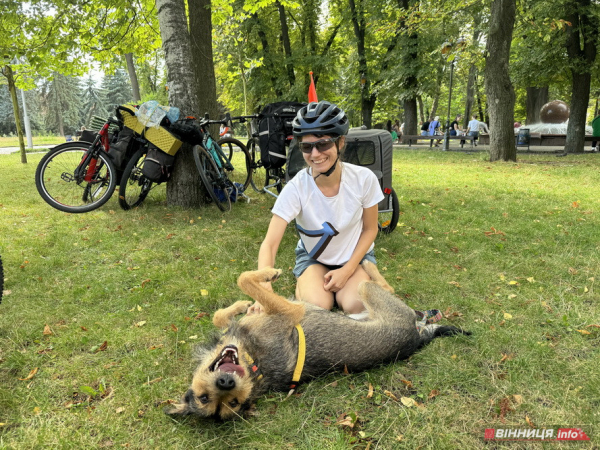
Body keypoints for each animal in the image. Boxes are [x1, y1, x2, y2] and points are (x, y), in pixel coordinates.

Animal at [165, 262, 468, 420]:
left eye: (204, 396)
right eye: (231, 403)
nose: (226, 382)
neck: (255, 364)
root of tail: (415, 337)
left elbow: (223, 312)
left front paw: (242, 303)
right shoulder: (291, 311)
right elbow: (244, 280)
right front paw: (267, 276)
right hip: (370, 294)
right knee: (386, 286)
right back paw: (368, 264)